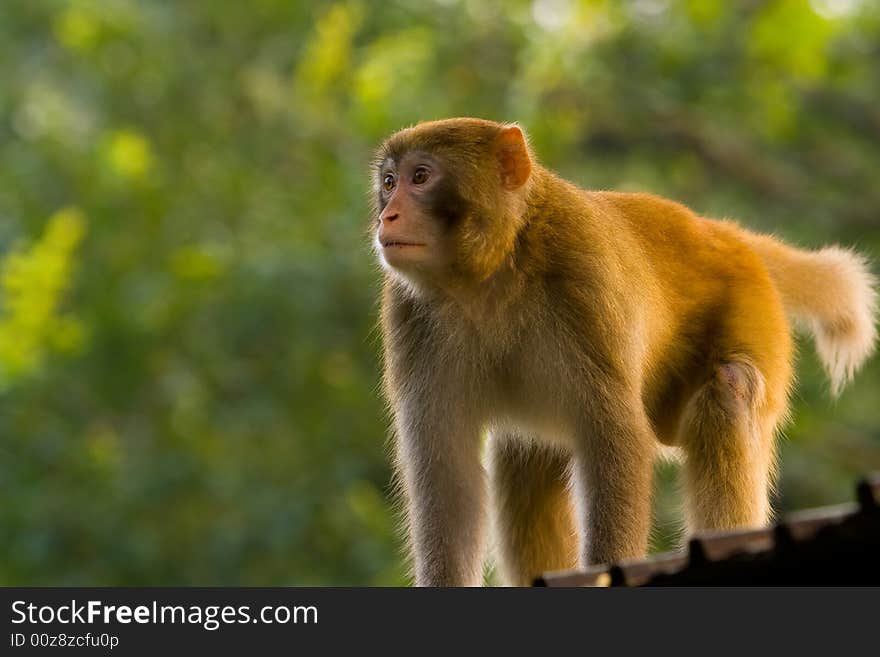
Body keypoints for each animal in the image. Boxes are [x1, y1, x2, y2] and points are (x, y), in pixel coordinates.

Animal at [370, 116, 872, 584]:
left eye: (421, 177)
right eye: (389, 183)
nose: (385, 217)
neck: (493, 270)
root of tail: (722, 233)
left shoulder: (583, 277)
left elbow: (617, 439)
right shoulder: (409, 315)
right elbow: (448, 478)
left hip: (752, 313)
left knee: (731, 386)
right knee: (527, 455)